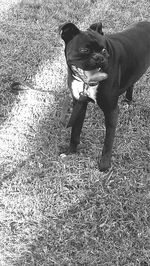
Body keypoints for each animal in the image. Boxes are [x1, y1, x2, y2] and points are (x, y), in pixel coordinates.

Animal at [59, 20, 150, 170]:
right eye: (84, 50)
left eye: (104, 50)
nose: (99, 58)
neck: (86, 83)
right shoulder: (79, 104)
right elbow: (75, 132)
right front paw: (70, 152)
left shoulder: (111, 111)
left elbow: (108, 141)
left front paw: (104, 165)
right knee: (131, 82)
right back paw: (128, 100)